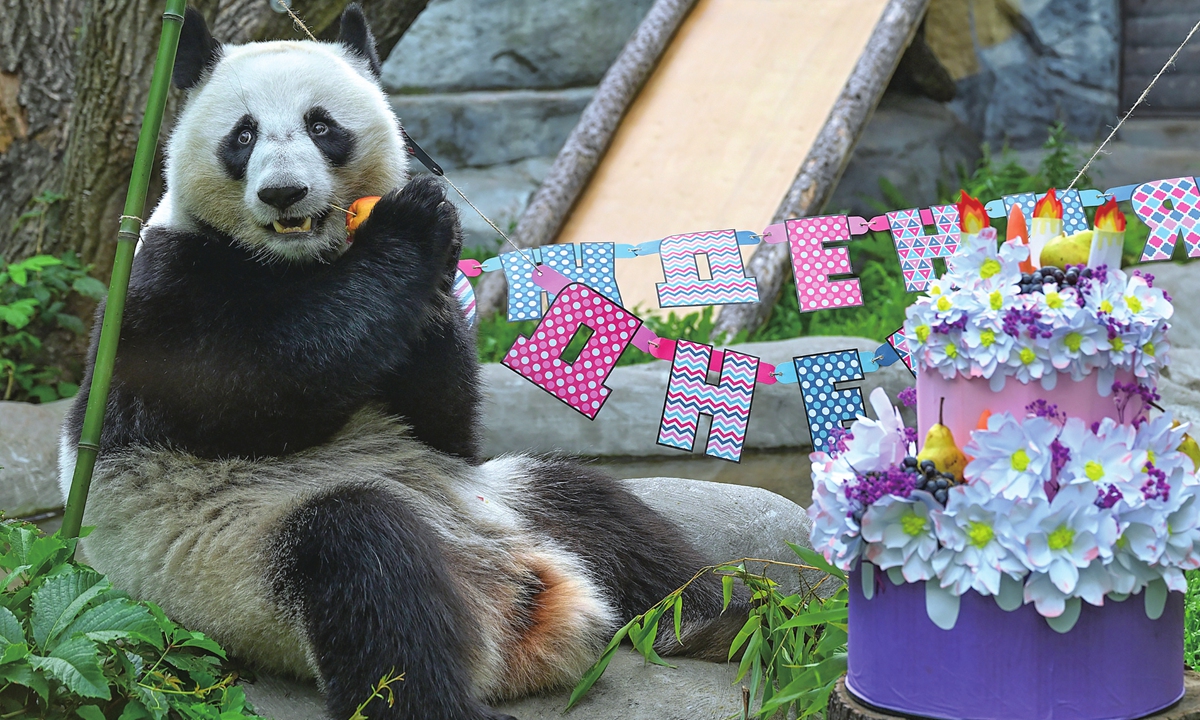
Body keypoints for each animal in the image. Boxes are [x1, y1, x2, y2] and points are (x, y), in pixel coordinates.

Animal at [58, 6, 746, 720]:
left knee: (600, 509)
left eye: (321, 125)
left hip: (505, 496)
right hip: (242, 567)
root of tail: (521, 620)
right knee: (367, 571)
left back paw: (718, 621)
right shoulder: (160, 287)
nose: (283, 193)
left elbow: (441, 421)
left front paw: (437, 256)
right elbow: (248, 385)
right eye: (242, 136)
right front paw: (413, 222)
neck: (302, 260)